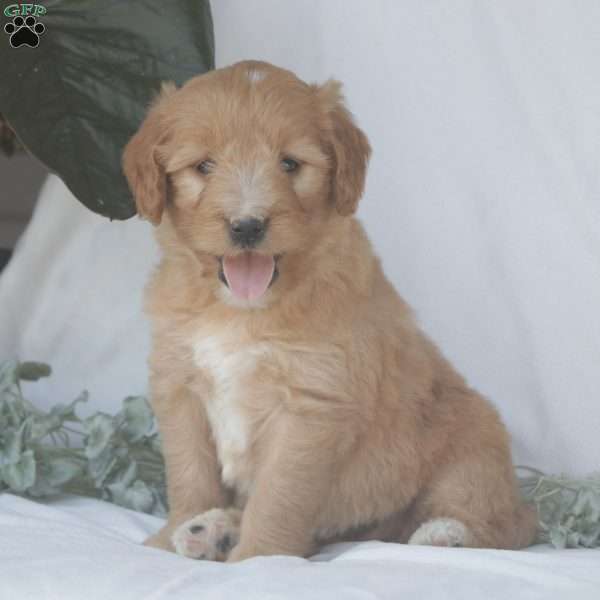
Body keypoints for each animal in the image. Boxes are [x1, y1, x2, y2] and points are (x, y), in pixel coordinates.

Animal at [120, 58, 536, 560]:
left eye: (290, 164)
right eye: (203, 166)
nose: (247, 226)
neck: (241, 310)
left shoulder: (311, 406)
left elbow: (278, 496)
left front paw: (257, 556)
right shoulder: (180, 386)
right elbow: (189, 474)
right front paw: (171, 536)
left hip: (473, 442)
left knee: (503, 524)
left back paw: (446, 535)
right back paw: (212, 529)